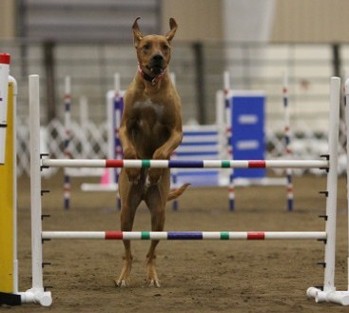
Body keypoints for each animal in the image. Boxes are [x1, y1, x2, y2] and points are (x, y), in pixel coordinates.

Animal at [116, 16, 188, 286]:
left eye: (164, 47)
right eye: (146, 46)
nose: (157, 57)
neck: (151, 86)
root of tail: (144, 195)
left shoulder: (177, 131)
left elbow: (160, 152)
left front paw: (154, 171)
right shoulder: (124, 125)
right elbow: (129, 149)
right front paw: (134, 169)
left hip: (159, 214)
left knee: (151, 252)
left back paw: (152, 276)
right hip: (126, 211)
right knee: (128, 252)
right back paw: (124, 276)